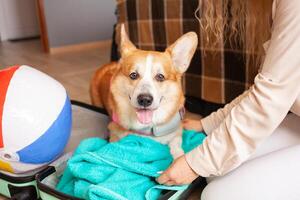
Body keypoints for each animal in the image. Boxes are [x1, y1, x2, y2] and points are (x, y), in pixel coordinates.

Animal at [89, 24, 197, 158]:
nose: (145, 100)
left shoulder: (176, 134)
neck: (148, 127)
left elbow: (177, 147)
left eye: (160, 77)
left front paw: (178, 156)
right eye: (133, 75)